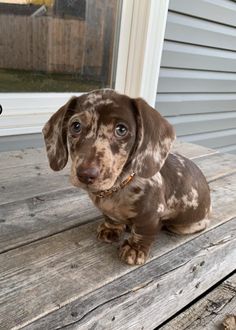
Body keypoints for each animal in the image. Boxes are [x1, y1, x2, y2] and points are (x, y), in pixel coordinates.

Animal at [43, 89, 211, 266]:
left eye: (121, 129)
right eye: (75, 126)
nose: (85, 174)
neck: (116, 188)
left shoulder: (150, 215)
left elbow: (143, 232)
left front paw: (135, 249)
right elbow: (111, 219)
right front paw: (111, 228)